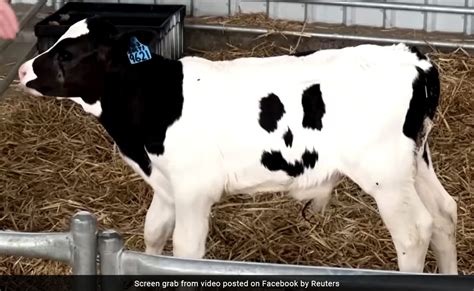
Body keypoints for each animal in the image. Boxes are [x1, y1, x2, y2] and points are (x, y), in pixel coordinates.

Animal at [18, 17, 460, 274]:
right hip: (416, 162)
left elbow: (186, 251)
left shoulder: (194, 190)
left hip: (385, 174)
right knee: (445, 213)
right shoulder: (167, 185)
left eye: (68, 53)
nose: (22, 70)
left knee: (415, 232)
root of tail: (414, 58)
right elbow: (154, 234)